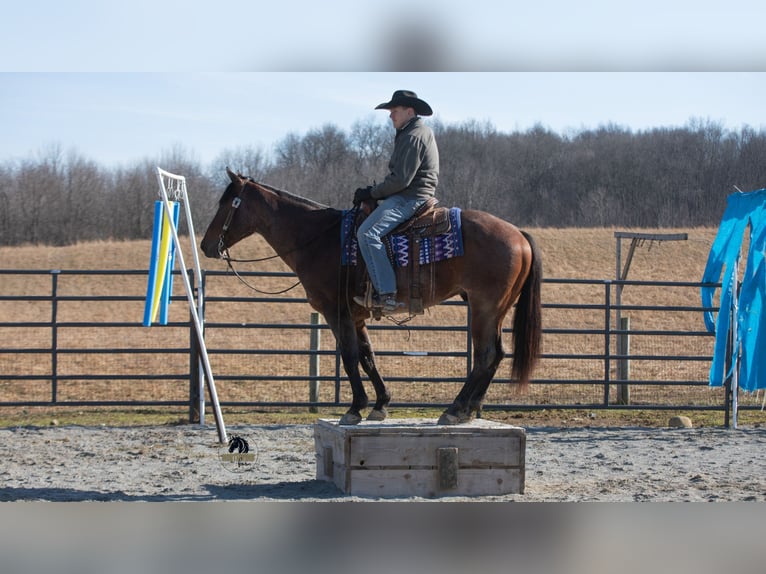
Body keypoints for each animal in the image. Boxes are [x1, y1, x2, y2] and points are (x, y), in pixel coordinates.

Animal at [200, 168, 542, 425]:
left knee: (485, 355)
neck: (319, 238)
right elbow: (367, 357)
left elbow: (350, 356)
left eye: (227, 203)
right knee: (497, 354)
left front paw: (355, 408)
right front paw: (380, 404)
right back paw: (469, 409)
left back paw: (455, 410)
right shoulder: (356, 316)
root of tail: (518, 234)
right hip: (495, 309)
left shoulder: (335, 311)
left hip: (485, 308)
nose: (205, 245)